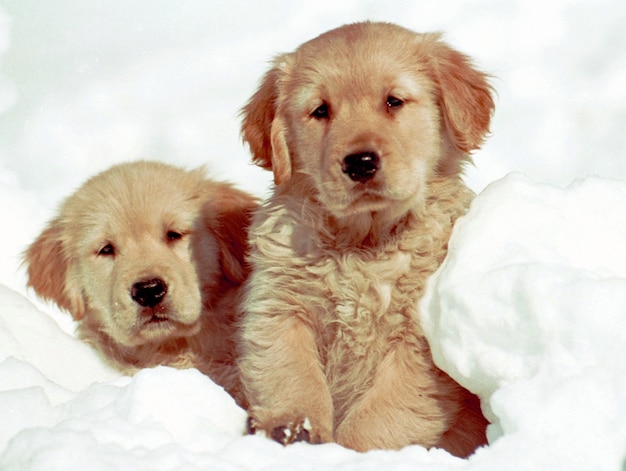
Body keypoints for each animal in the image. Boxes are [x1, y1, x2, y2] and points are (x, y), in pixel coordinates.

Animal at [238, 22, 492, 458]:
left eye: (394, 101)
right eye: (320, 110)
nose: (360, 162)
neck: (363, 244)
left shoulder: (417, 344)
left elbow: (380, 418)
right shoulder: (281, 309)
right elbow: (291, 376)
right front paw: (294, 431)